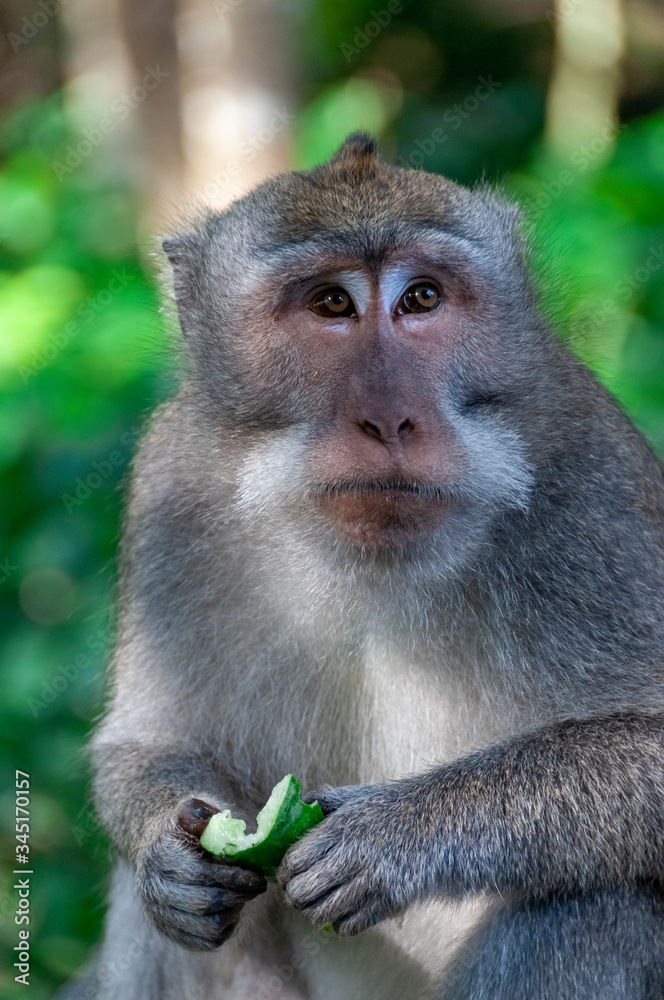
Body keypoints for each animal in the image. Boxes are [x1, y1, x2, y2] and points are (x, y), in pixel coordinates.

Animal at [68, 133, 664, 1000]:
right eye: (330, 305)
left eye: (421, 298)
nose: (390, 418)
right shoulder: (171, 485)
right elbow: (145, 741)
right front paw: (166, 856)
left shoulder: (592, 480)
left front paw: (400, 831)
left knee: (602, 897)